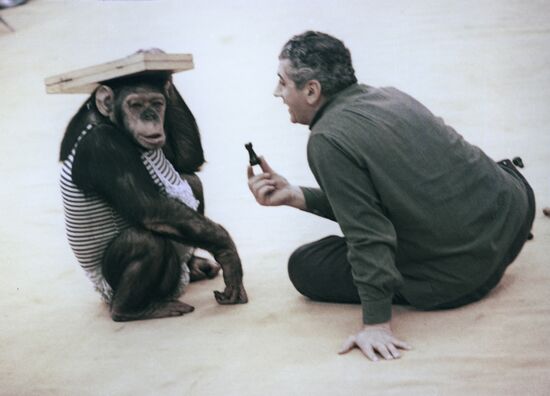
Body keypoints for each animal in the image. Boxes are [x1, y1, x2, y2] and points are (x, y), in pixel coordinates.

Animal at [58, 71, 248, 320]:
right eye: (136, 105)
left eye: (157, 103)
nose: (150, 116)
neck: (109, 122)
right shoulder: (104, 146)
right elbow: (152, 209)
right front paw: (228, 253)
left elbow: (184, 161)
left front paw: (163, 73)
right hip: (123, 289)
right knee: (145, 241)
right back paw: (132, 309)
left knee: (191, 180)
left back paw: (196, 266)